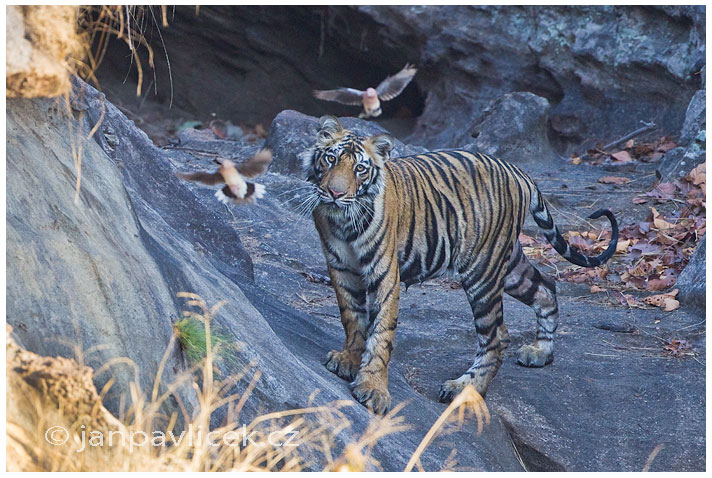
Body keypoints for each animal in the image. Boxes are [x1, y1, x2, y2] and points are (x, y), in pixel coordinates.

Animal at [300, 116, 616, 414]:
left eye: (360, 169)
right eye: (331, 159)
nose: (335, 194)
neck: (343, 221)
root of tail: (519, 171)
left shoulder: (384, 272)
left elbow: (381, 332)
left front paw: (373, 389)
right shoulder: (341, 267)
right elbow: (353, 317)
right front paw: (348, 360)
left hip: (483, 271)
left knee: (496, 337)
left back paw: (463, 389)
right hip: (507, 263)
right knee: (545, 288)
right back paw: (540, 352)